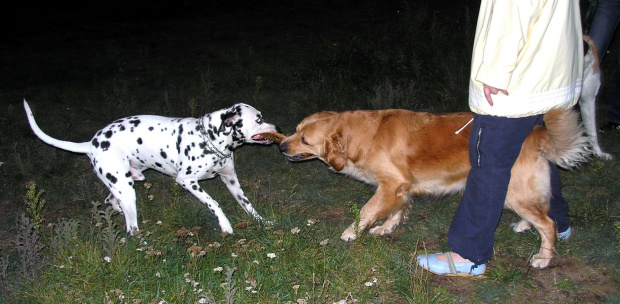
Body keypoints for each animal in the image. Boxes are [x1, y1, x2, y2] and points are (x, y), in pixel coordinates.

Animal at [23, 100, 278, 235]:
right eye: (258, 119)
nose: (277, 128)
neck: (211, 138)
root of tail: (92, 143)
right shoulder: (187, 181)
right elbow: (214, 203)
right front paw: (225, 225)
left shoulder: (231, 180)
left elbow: (248, 205)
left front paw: (264, 222)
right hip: (126, 189)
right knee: (130, 228)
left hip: (124, 184)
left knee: (111, 202)